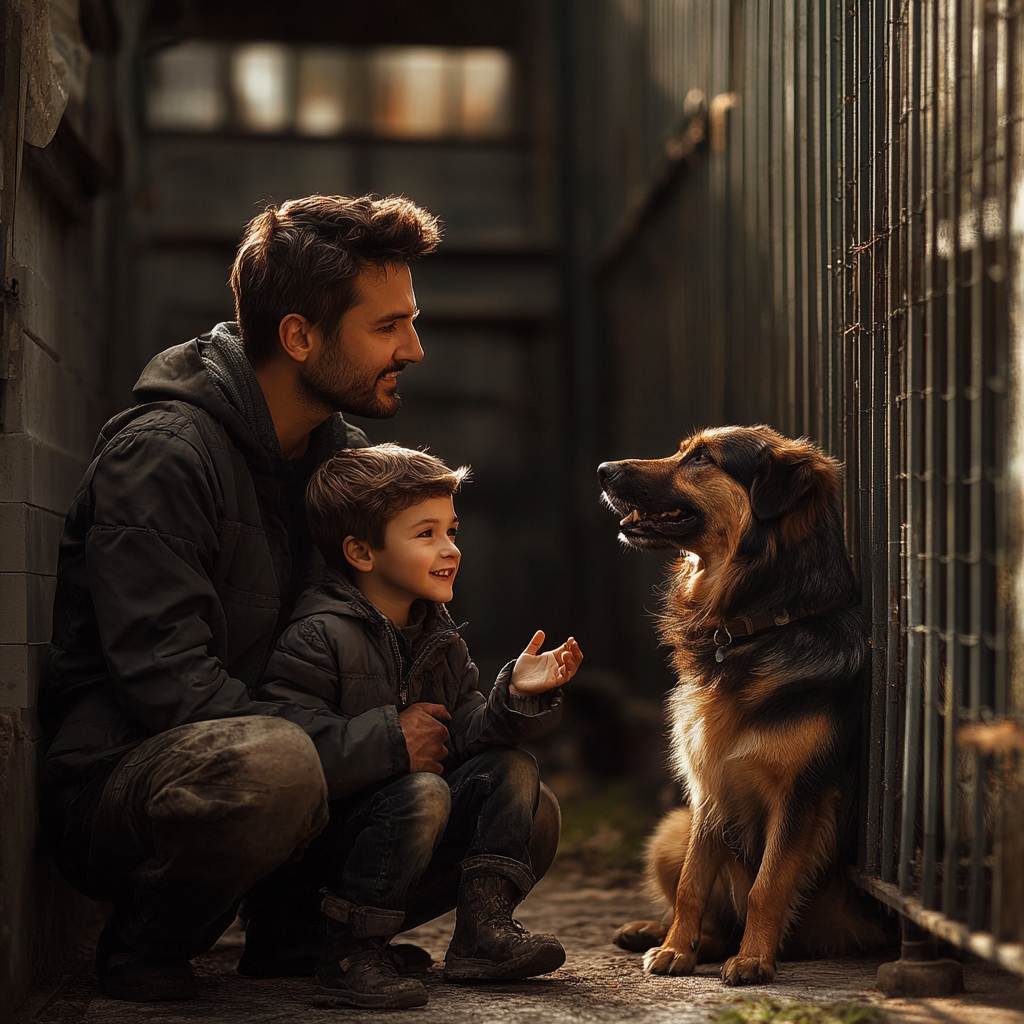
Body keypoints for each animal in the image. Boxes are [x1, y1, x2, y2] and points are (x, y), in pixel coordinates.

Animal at [598, 423, 884, 983]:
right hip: (671, 827)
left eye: (702, 459)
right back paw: (656, 933)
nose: (603, 470)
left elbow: (766, 886)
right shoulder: (707, 788)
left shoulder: (799, 795)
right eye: (684, 451)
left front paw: (753, 959)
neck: (756, 626)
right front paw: (675, 948)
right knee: (707, 913)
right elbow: (692, 883)